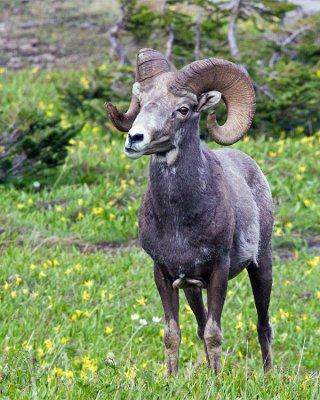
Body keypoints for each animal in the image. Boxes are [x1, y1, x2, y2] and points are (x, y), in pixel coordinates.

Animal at [106, 48, 274, 376]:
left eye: (183, 109)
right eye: (142, 103)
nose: (134, 139)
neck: (179, 221)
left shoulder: (219, 271)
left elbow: (214, 333)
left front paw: (217, 380)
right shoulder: (164, 274)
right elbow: (173, 333)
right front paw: (171, 379)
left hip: (262, 267)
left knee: (263, 326)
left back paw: (268, 375)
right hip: (193, 290)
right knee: (199, 324)